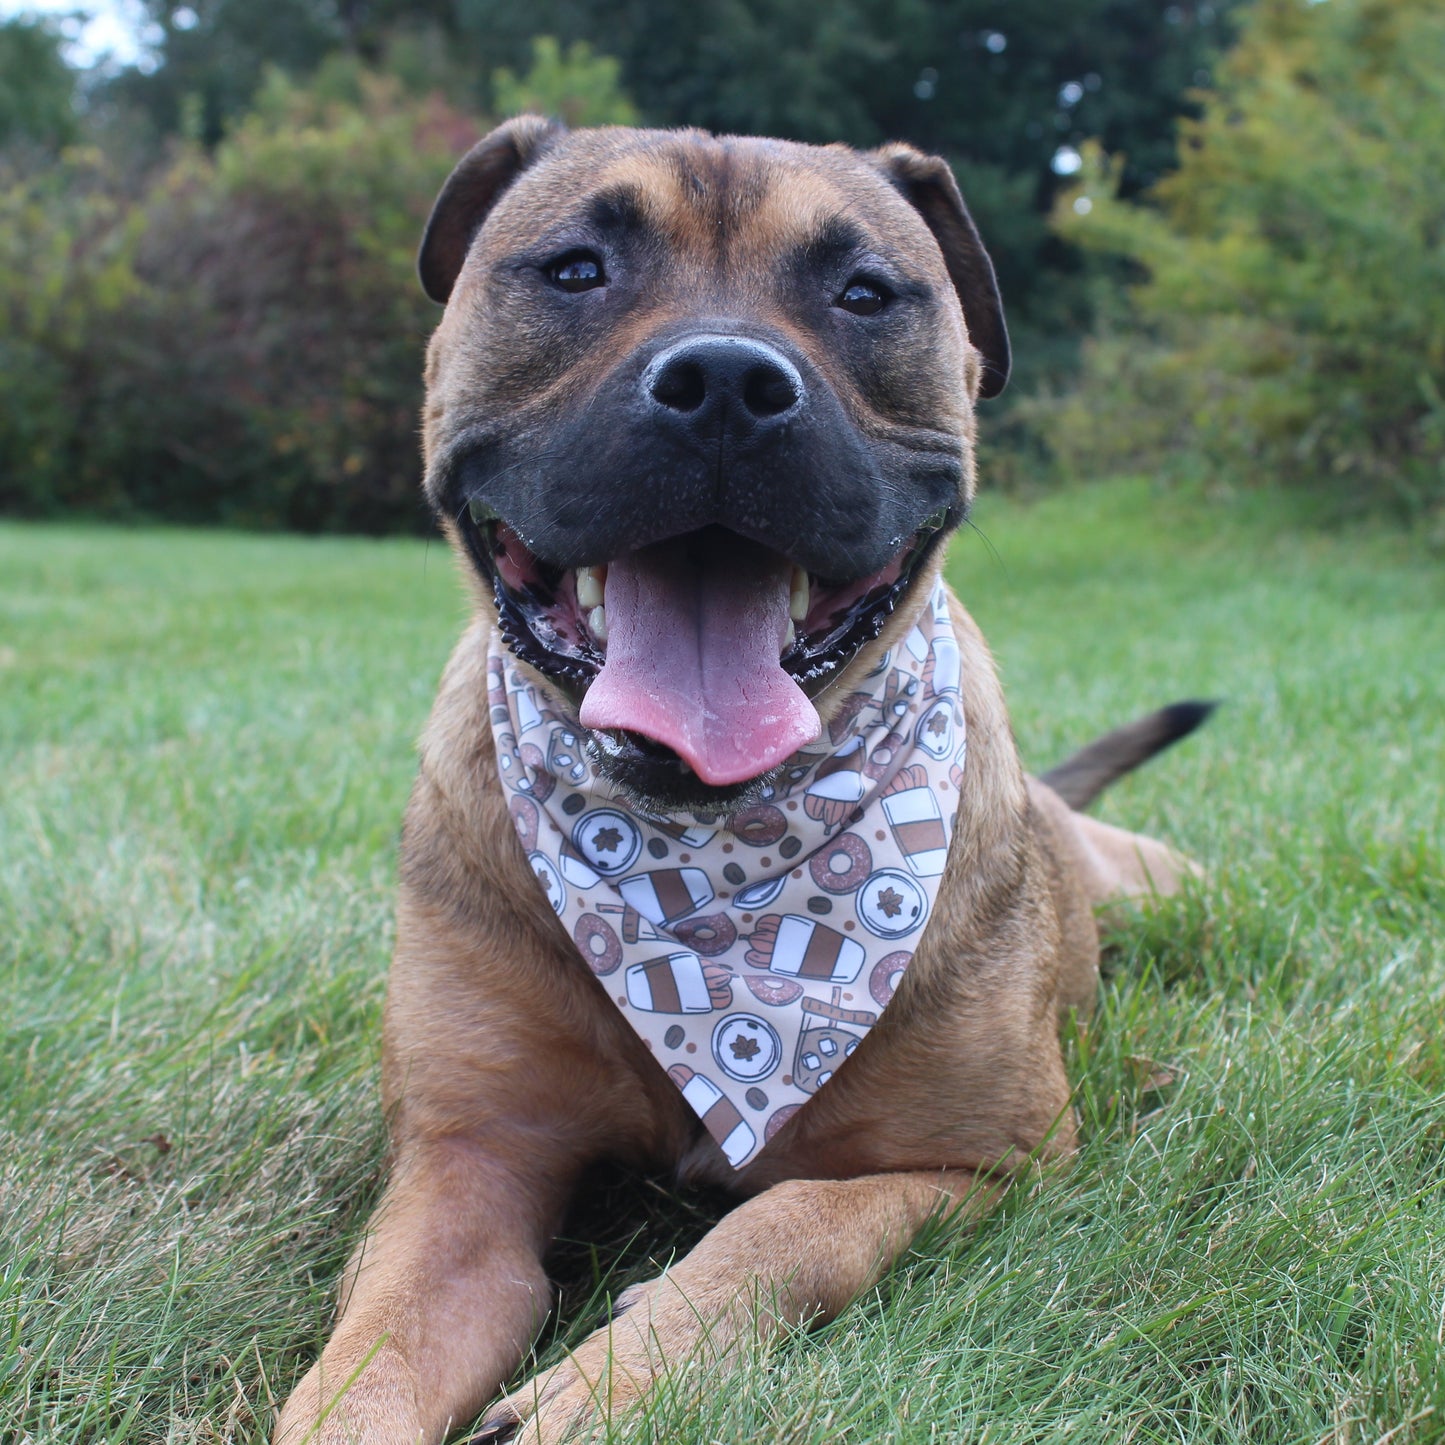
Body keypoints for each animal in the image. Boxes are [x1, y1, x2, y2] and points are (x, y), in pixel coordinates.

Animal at [271, 115, 1208, 1445]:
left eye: (863, 292)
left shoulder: (988, 1162)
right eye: (574, 269)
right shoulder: (466, 1156)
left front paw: (609, 1380)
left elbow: (786, 1225)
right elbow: (378, 1350)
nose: (722, 381)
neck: (705, 870)